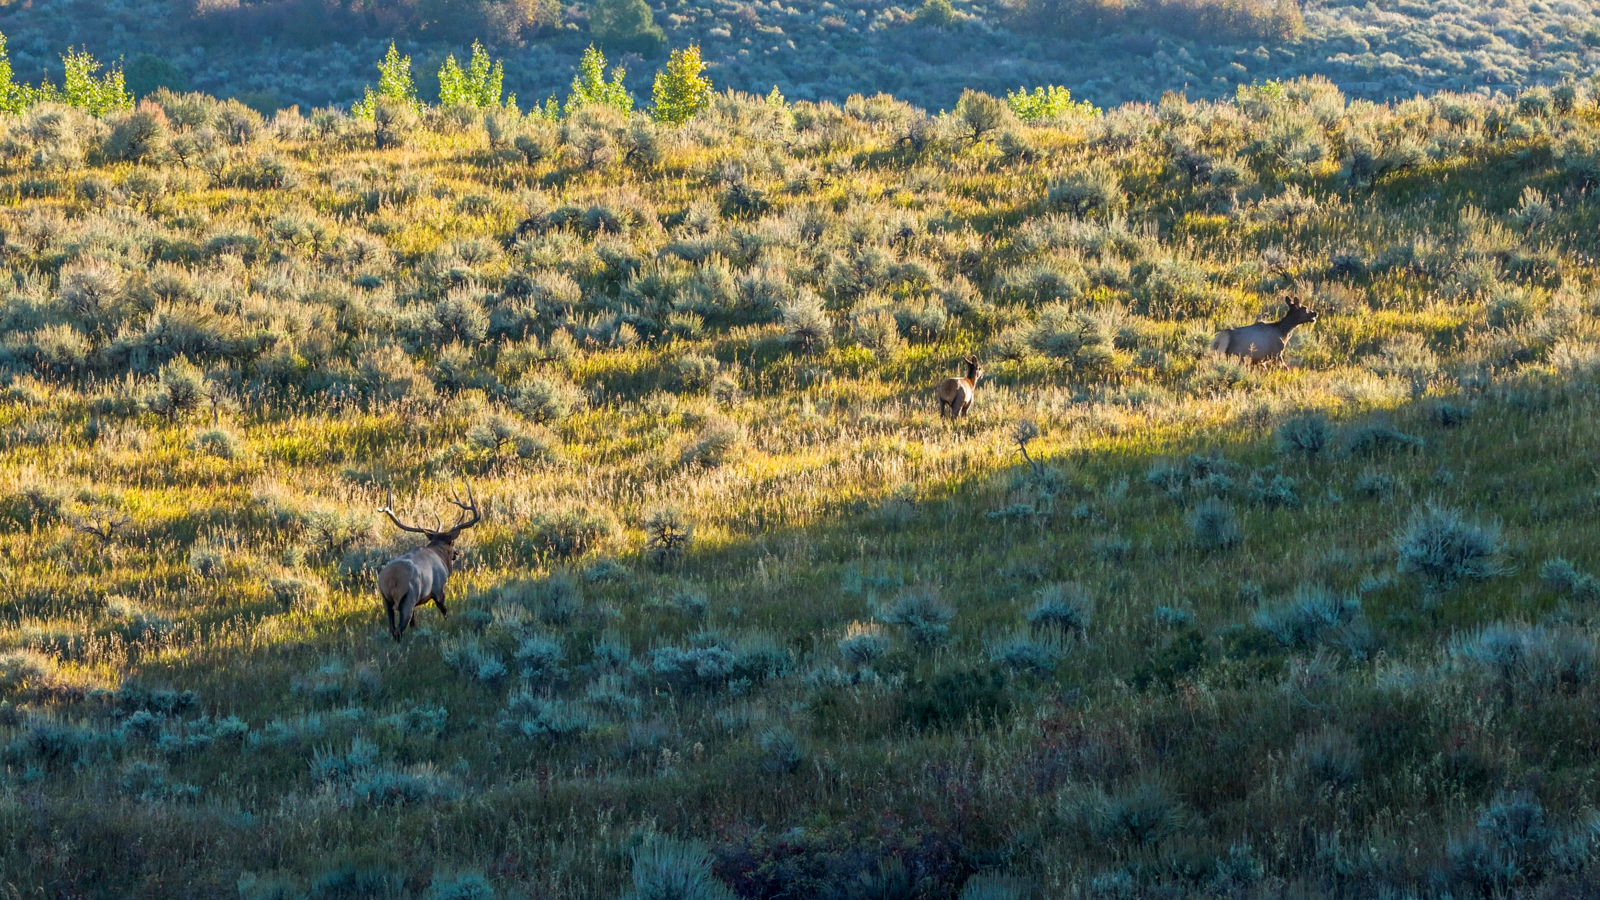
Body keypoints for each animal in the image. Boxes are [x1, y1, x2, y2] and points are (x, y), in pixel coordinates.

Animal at [375, 485, 481, 642]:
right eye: (452, 542)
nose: (456, 554)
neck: (439, 554)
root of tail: (391, 580)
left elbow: (414, 623)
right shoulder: (438, 589)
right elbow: (445, 612)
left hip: (385, 600)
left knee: (393, 628)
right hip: (408, 597)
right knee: (399, 629)